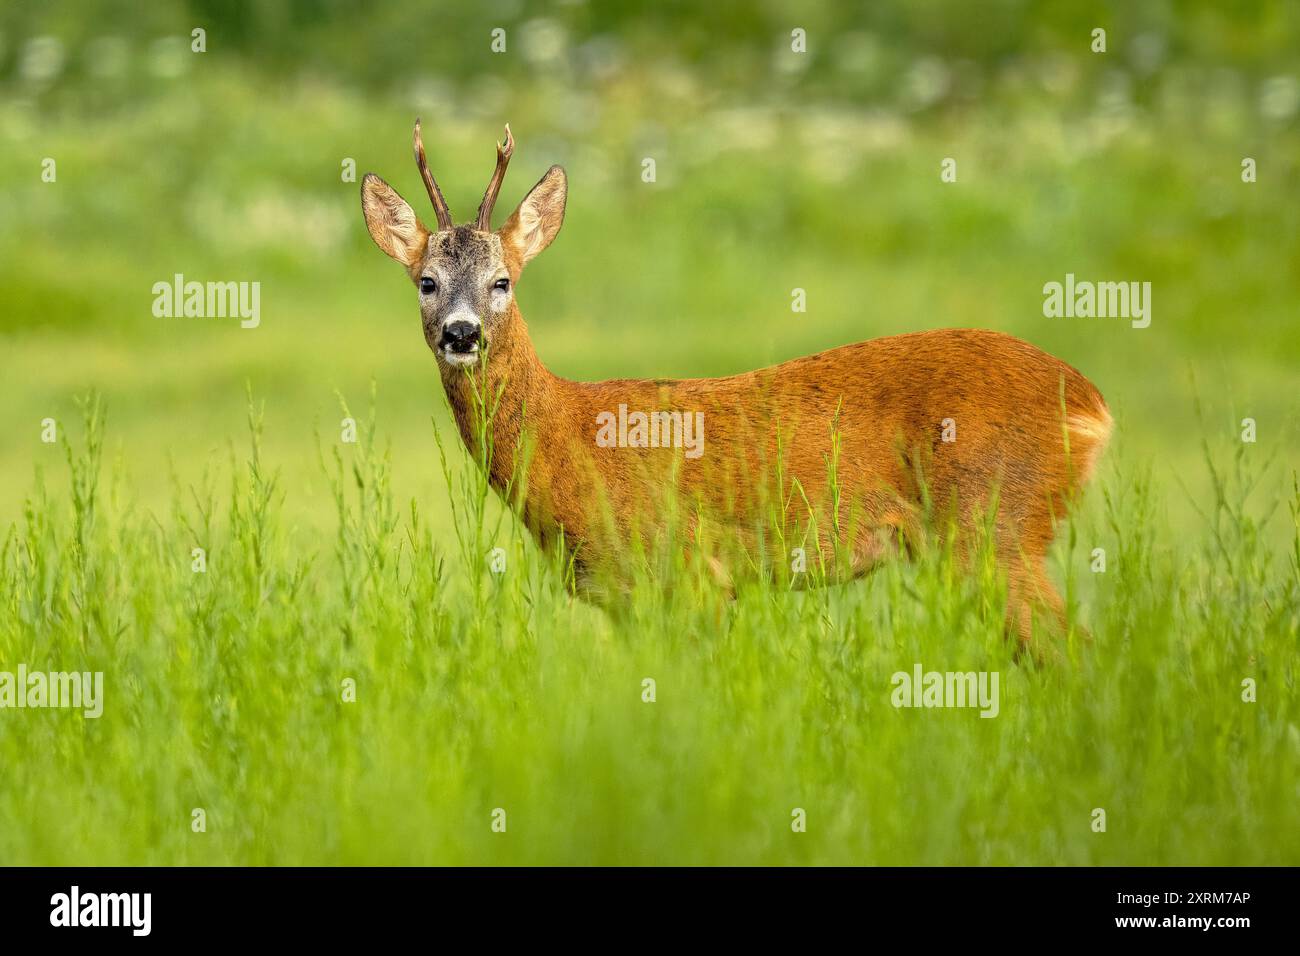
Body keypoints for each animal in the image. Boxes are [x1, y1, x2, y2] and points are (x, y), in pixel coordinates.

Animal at [360, 121, 1112, 658]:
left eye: (502, 281)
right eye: (426, 281)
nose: (461, 333)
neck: (571, 438)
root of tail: (1092, 402)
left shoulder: (694, 572)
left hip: (995, 526)